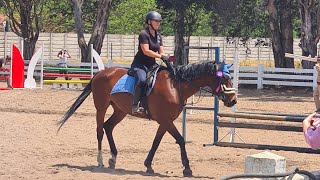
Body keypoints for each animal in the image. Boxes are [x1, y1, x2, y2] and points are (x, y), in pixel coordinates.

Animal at [58, 59, 238, 176]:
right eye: (224, 78)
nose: (233, 100)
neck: (176, 86)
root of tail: (100, 73)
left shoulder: (165, 121)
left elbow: (156, 142)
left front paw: (148, 165)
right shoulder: (165, 120)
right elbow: (180, 140)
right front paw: (187, 168)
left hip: (120, 110)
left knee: (108, 126)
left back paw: (113, 158)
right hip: (101, 107)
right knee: (99, 131)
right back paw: (100, 161)